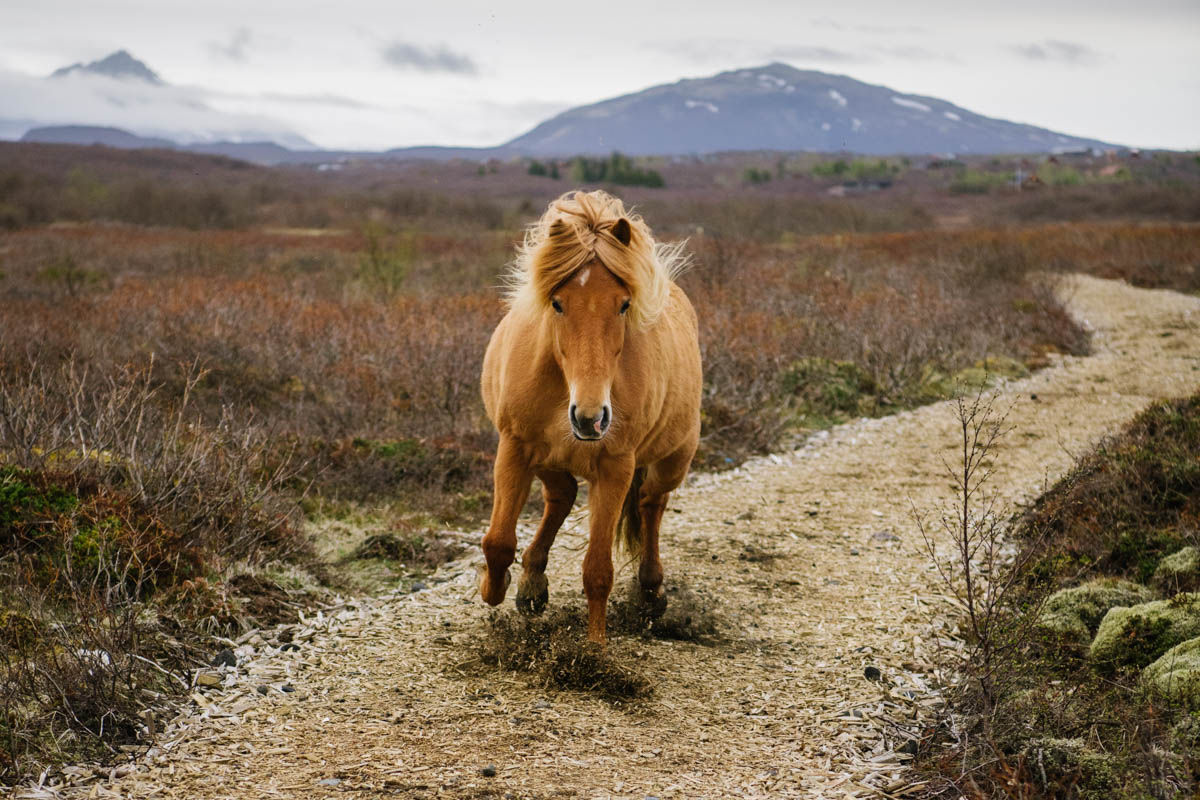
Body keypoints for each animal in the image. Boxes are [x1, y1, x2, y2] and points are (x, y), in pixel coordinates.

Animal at [477, 189, 700, 642]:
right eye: (558, 303)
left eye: (624, 304)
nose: (590, 419)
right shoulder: (515, 447)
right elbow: (498, 541)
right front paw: (495, 588)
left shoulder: (615, 466)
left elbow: (598, 571)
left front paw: (594, 650)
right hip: (546, 457)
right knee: (561, 496)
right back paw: (531, 584)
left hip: (674, 459)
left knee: (652, 503)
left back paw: (651, 591)